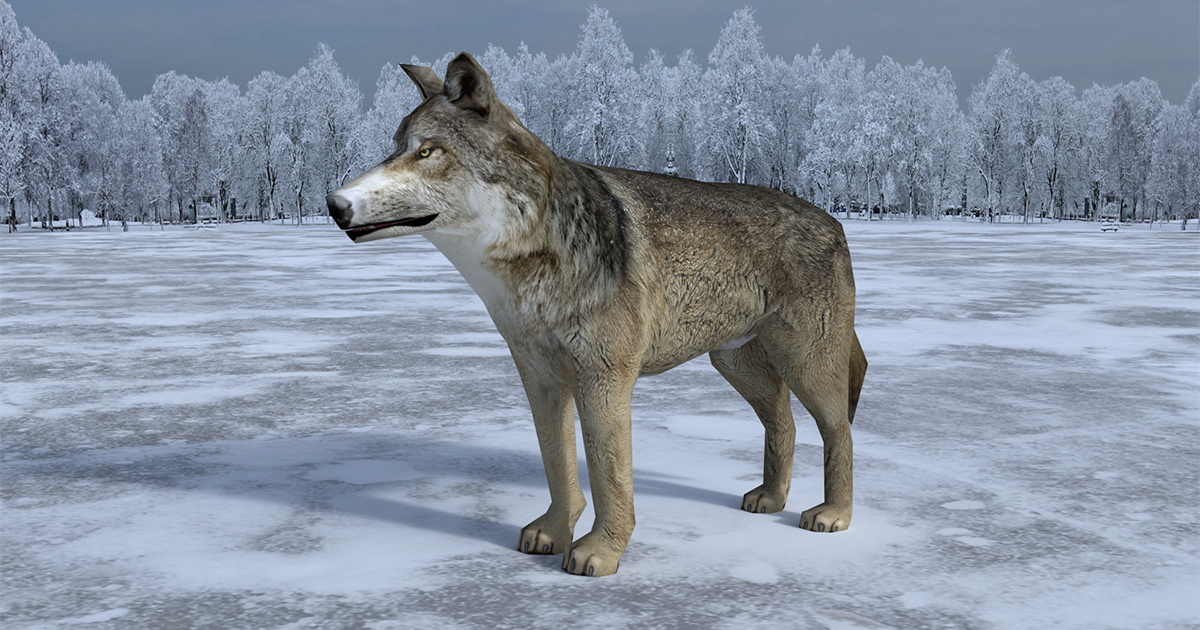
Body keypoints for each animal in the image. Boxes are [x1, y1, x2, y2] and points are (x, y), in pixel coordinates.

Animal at [326, 53, 867, 577]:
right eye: (395, 148)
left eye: (428, 152)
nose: (334, 203)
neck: (528, 268)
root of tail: (833, 221)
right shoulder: (541, 379)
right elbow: (559, 465)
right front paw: (553, 531)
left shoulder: (604, 379)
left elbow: (609, 475)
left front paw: (601, 553)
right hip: (736, 364)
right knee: (784, 422)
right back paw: (770, 499)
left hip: (806, 363)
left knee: (838, 430)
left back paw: (834, 515)